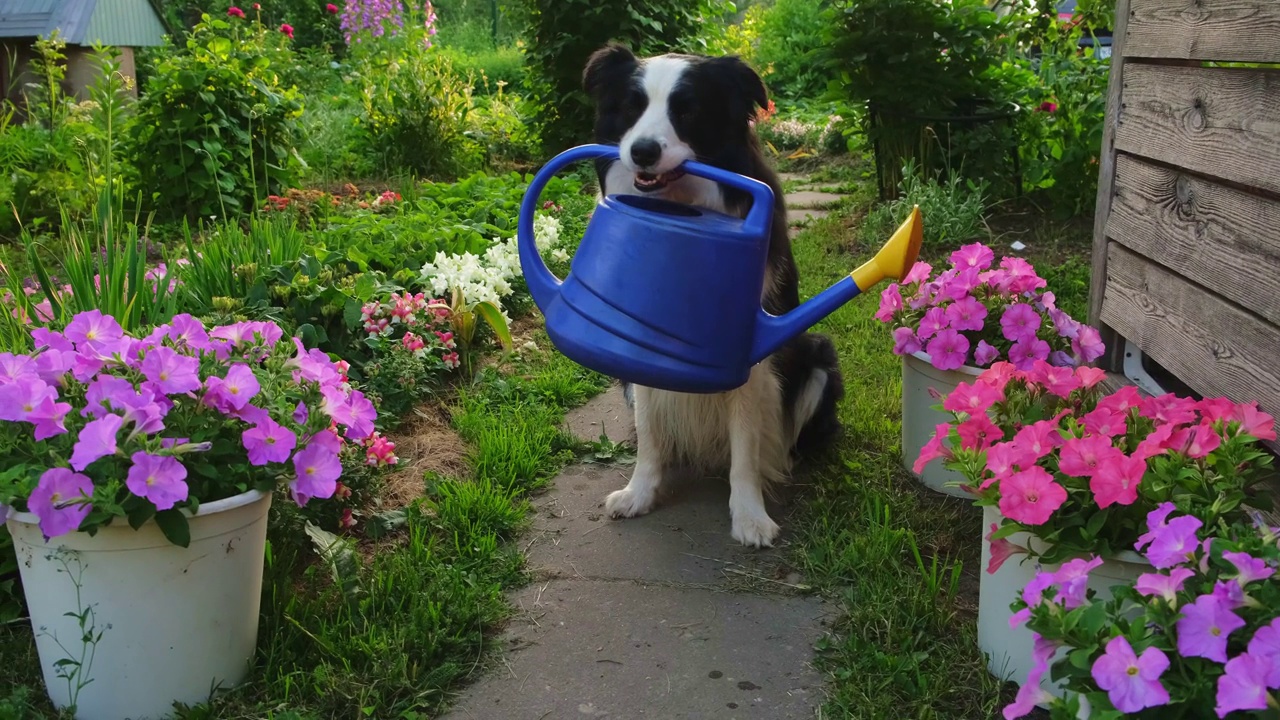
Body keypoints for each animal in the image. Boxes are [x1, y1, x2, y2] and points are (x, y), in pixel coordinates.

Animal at [583, 43, 844, 543]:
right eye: (632, 107)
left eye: (686, 110)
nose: (642, 152)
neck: (680, 207)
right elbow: (649, 432)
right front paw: (639, 493)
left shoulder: (750, 355)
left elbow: (746, 442)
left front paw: (749, 516)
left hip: (819, 356)